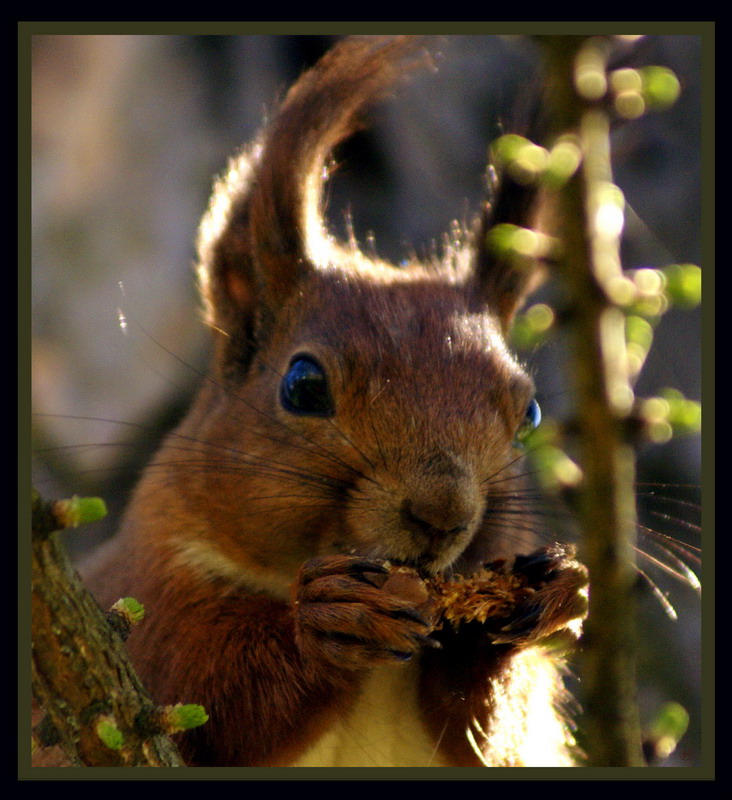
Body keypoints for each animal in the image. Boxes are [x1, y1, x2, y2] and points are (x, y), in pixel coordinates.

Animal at [77, 36, 588, 768]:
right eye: (302, 386)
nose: (444, 513)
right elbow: (207, 696)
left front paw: (534, 608)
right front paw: (327, 623)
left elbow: (495, 737)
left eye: (531, 414)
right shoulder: (148, 603)